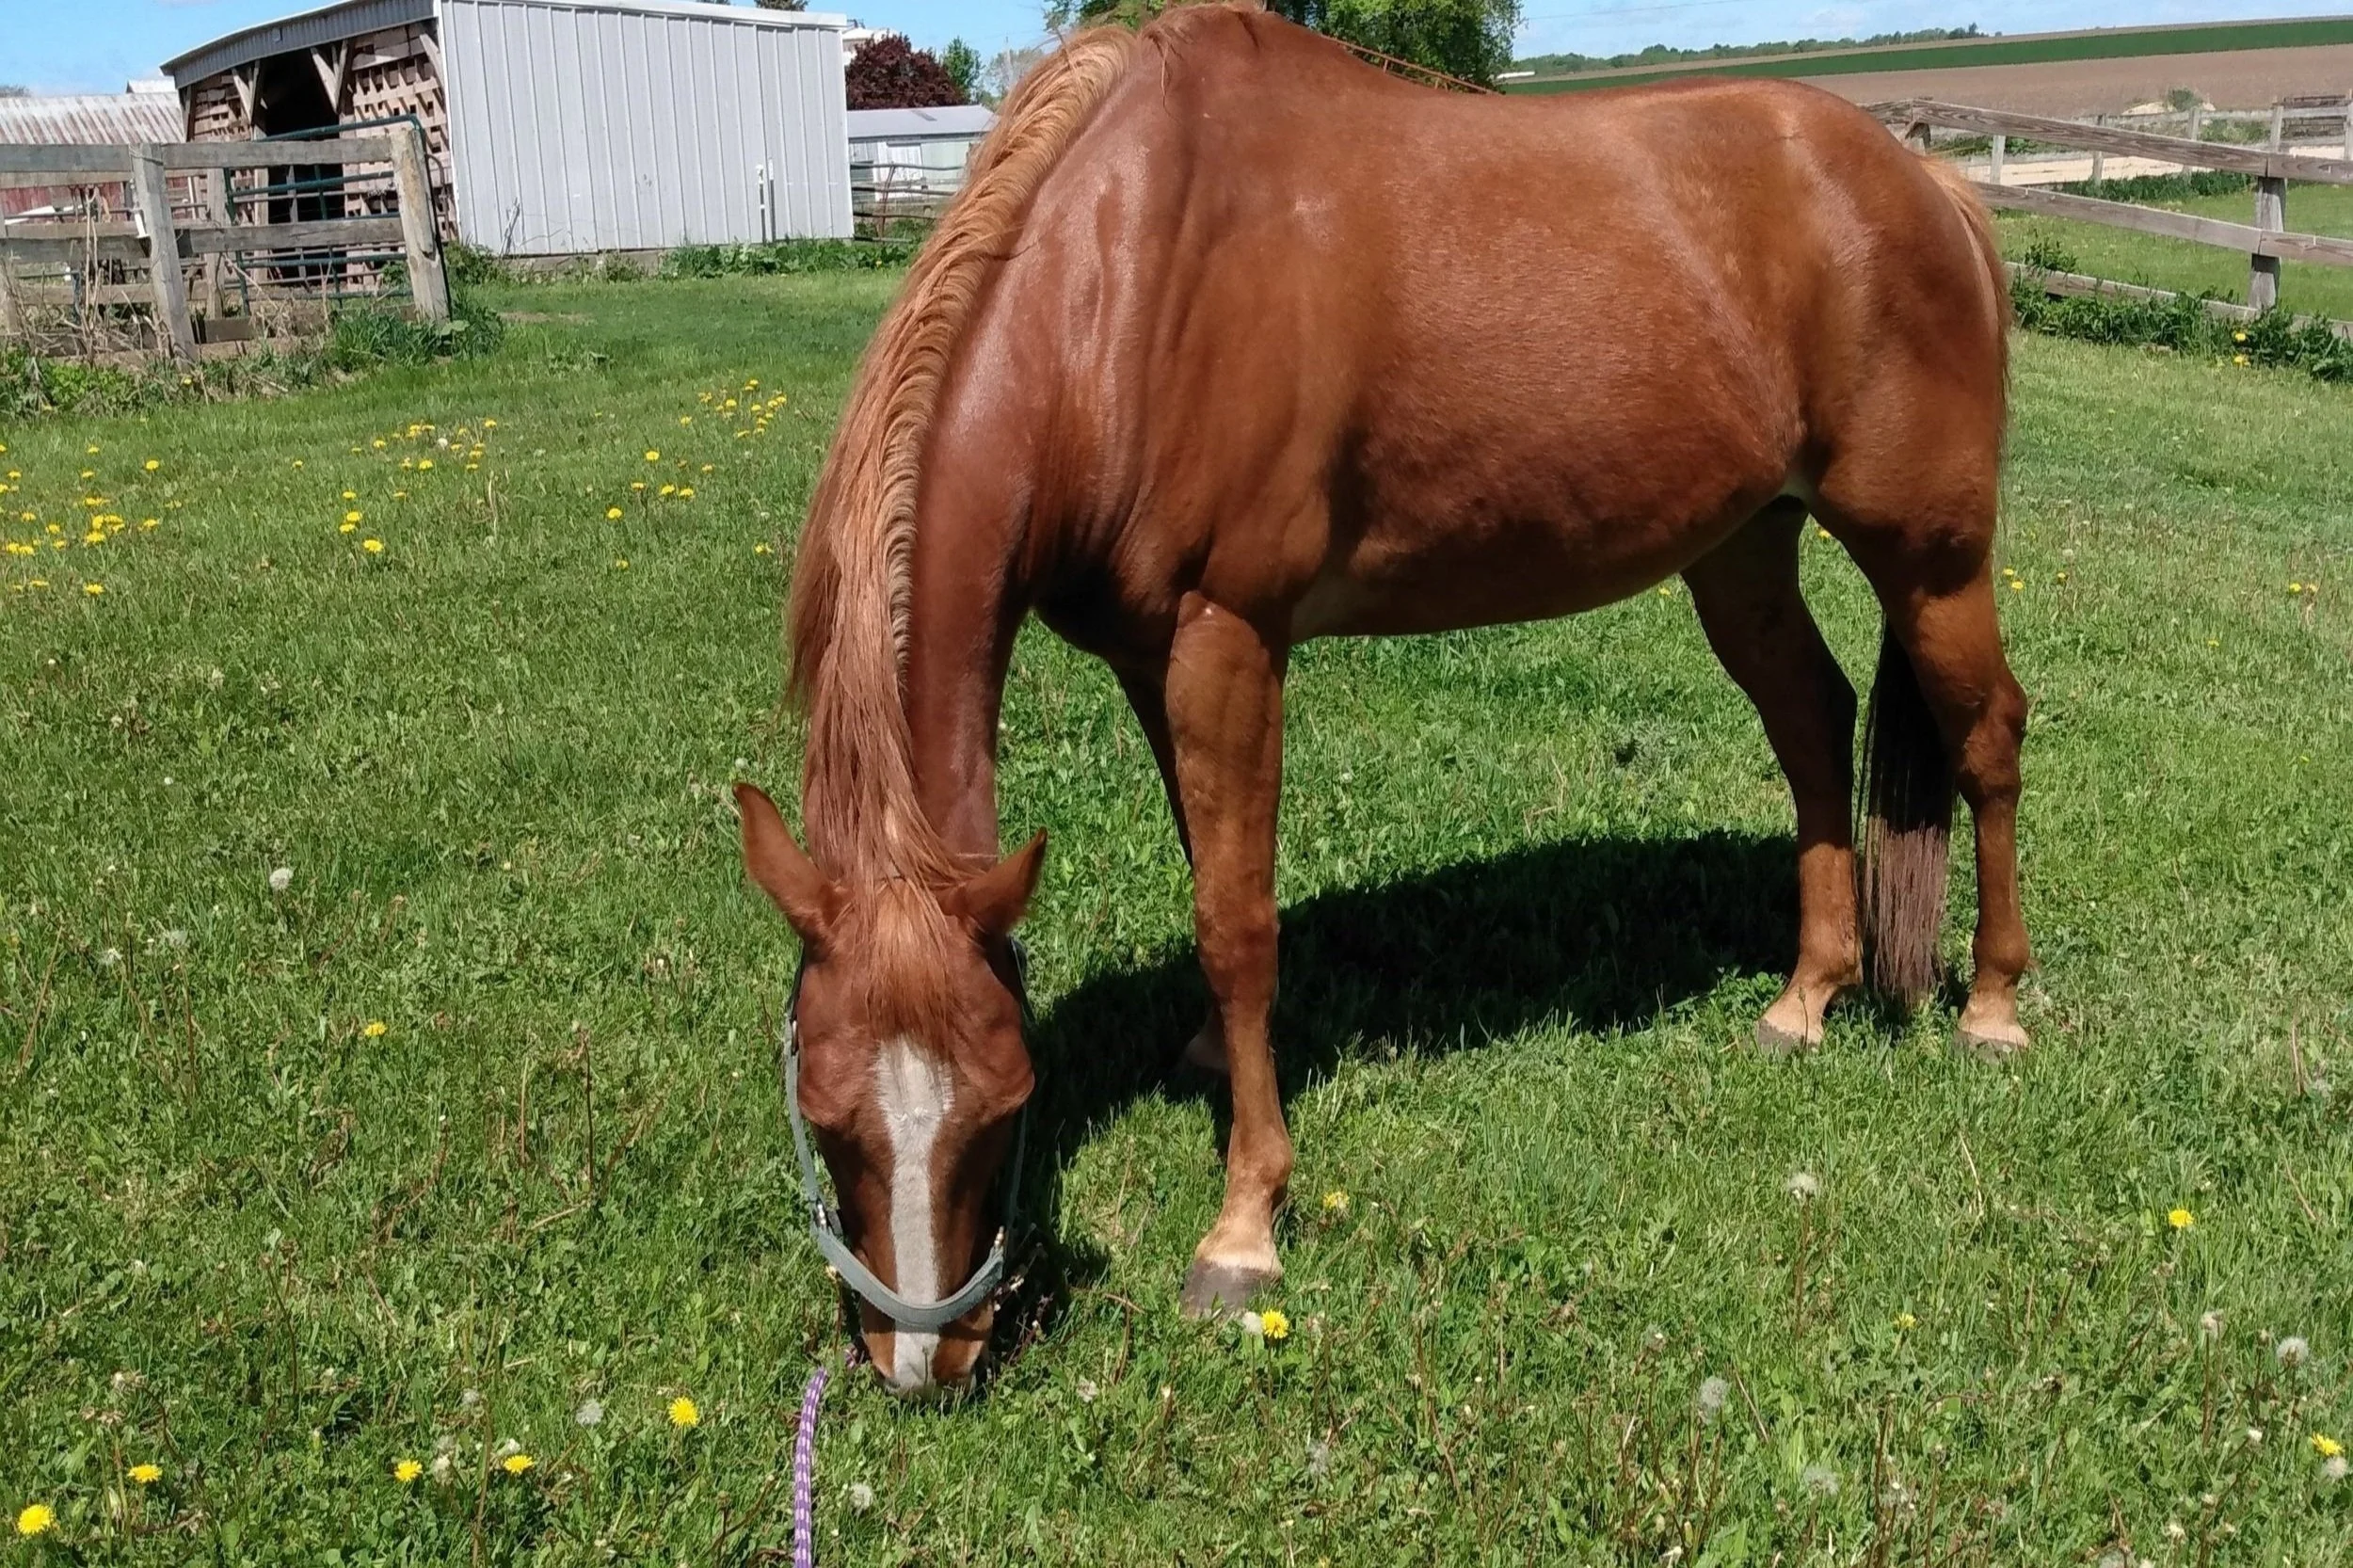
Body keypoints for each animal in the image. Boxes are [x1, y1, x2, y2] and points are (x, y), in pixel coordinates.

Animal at [734, 5, 2029, 1395]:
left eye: (1002, 1103)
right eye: (825, 1114)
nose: (924, 1360)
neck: (1128, 287)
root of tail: (1930, 185)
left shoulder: (1229, 638)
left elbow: (1237, 922)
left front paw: (1243, 1227)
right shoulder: (1151, 657)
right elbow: (1210, 872)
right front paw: (1210, 1060)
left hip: (1930, 558)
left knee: (1987, 738)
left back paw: (1994, 1009)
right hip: (1742, 546)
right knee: (1811, 722)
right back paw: (1804, 998)